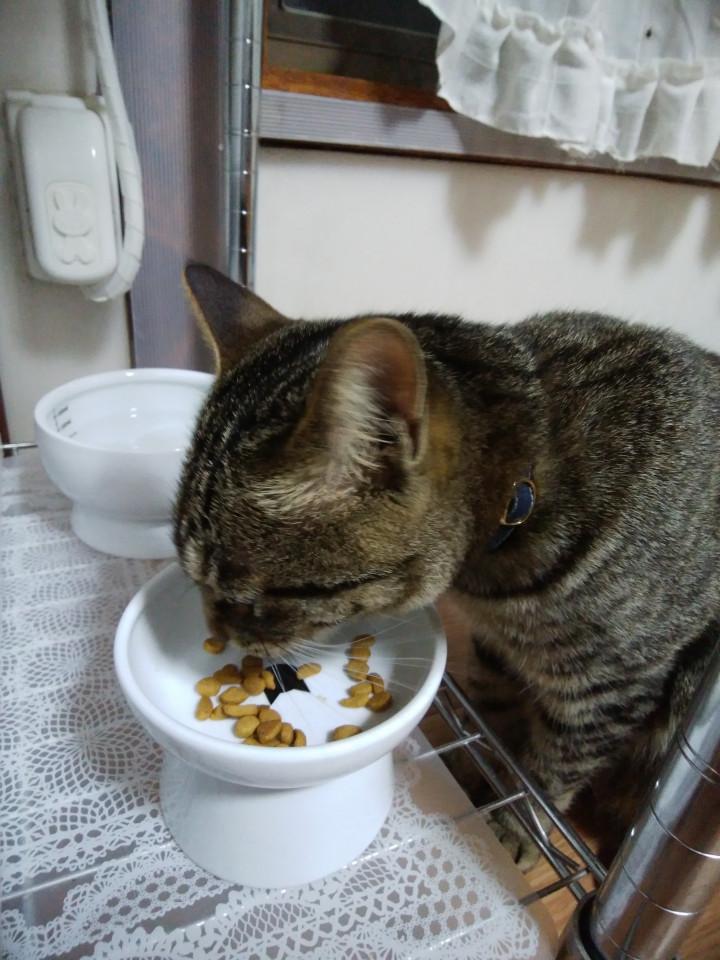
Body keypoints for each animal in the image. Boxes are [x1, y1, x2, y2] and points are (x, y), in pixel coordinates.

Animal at [174, 264, 719, 865]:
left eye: (248, 602)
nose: (217, 634)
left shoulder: (610, 685)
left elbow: (550, 772)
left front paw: (517, 826)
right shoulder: (498, 649)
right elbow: (492, 714)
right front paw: (469, 770)